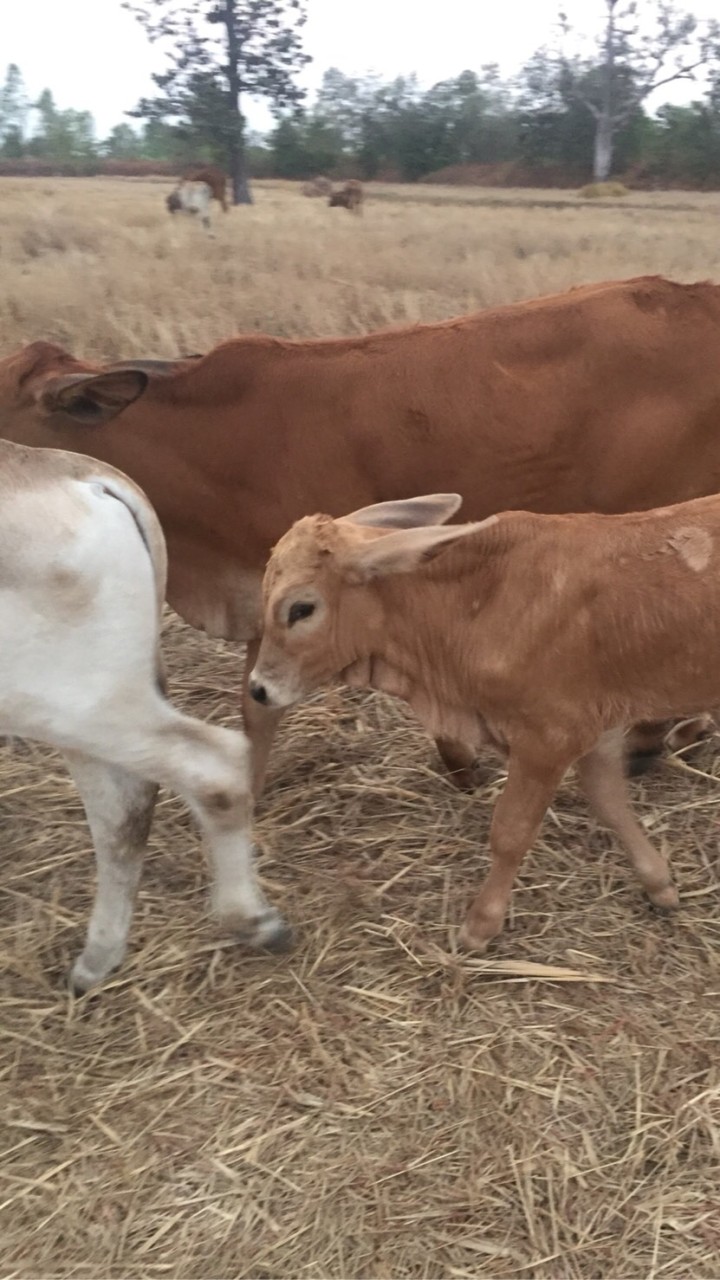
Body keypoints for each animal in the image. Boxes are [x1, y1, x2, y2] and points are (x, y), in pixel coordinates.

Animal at [2, 440, 288, 988]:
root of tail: (75, 472)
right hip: (83, 708)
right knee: (124, 810)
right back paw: (96, 961)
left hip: (75, 705)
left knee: (209, 766)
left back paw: (254, 921)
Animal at [245, 488, 717, 952]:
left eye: (301, 609)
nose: (258, 688)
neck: (478, 601)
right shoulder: (594, 729)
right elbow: (611, 804)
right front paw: (659, 883)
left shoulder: (548, 738)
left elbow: (510, 833)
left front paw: (481, 924)